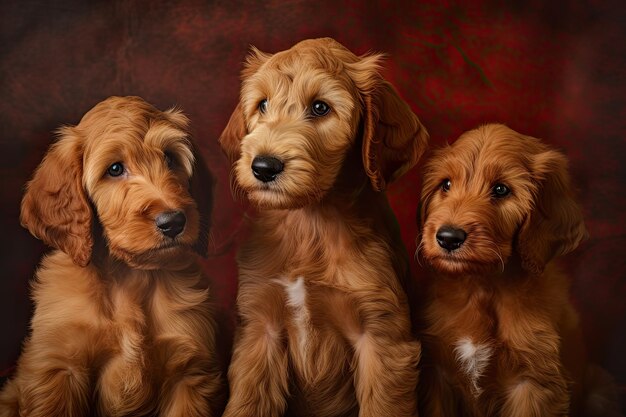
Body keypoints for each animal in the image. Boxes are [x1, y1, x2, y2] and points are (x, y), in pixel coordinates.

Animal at [0, 96, 223, 416]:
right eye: (115, 169)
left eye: (170, 158)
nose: (173, 222)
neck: (129, 277)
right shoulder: (60, 367)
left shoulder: (188, 372)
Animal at [217, 36, 426, 416]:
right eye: (262, 104)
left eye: (320, 107)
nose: (263, 166)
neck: (310, 224)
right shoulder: (260, 330)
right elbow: (247, 404)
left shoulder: (382, 337)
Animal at [416, 123, 588, 416]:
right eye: (446, 184)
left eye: (501, 189)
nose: (448, 238)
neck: (483, 287)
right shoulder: (437, 374)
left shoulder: (533, 383)